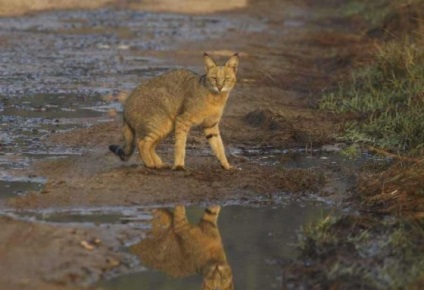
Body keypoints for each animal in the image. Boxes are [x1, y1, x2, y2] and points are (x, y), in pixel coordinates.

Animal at [107, 52, 240, 170]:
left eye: (226, 79)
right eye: (214, 78)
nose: (219, 87)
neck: (216, 98)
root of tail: (125, 109)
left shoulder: (211, 125)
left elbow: (219, 147)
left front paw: (226, 165)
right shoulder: (183, 120)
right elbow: (180, 146)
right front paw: (179, 166)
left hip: (166, 127)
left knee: (150, 146)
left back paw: (158, 163)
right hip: (159, 124)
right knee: (141, 143)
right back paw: (150, 164)